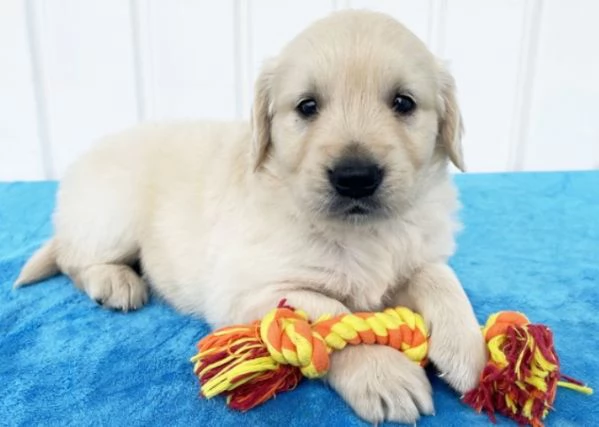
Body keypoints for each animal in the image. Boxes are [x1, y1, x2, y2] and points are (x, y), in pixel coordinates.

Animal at [16, 10, 488, 424]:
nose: (355, 178)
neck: (362, 232)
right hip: (112, 213)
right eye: (307, 107)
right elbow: (329, 313)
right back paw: (114, 281)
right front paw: (382, 371)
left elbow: (439, 277)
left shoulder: (419, 249)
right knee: (73, 257)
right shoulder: (248, 292)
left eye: (403, 103)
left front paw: (466, 347)